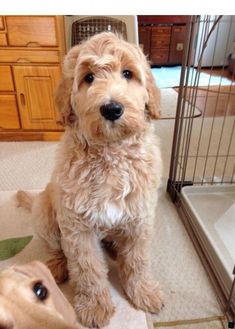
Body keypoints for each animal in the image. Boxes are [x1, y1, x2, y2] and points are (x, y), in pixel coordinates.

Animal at [17, 32, 163, 326]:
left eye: (128, 73)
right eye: (89, 77)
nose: (112, 109)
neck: (111, 155)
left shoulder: (140, 219)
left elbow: (138, 260)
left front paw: (143, 291)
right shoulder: (78, 228)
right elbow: (88, 269)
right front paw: (95, 305)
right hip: (45, 211)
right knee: (55, 247)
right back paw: (57, 266)